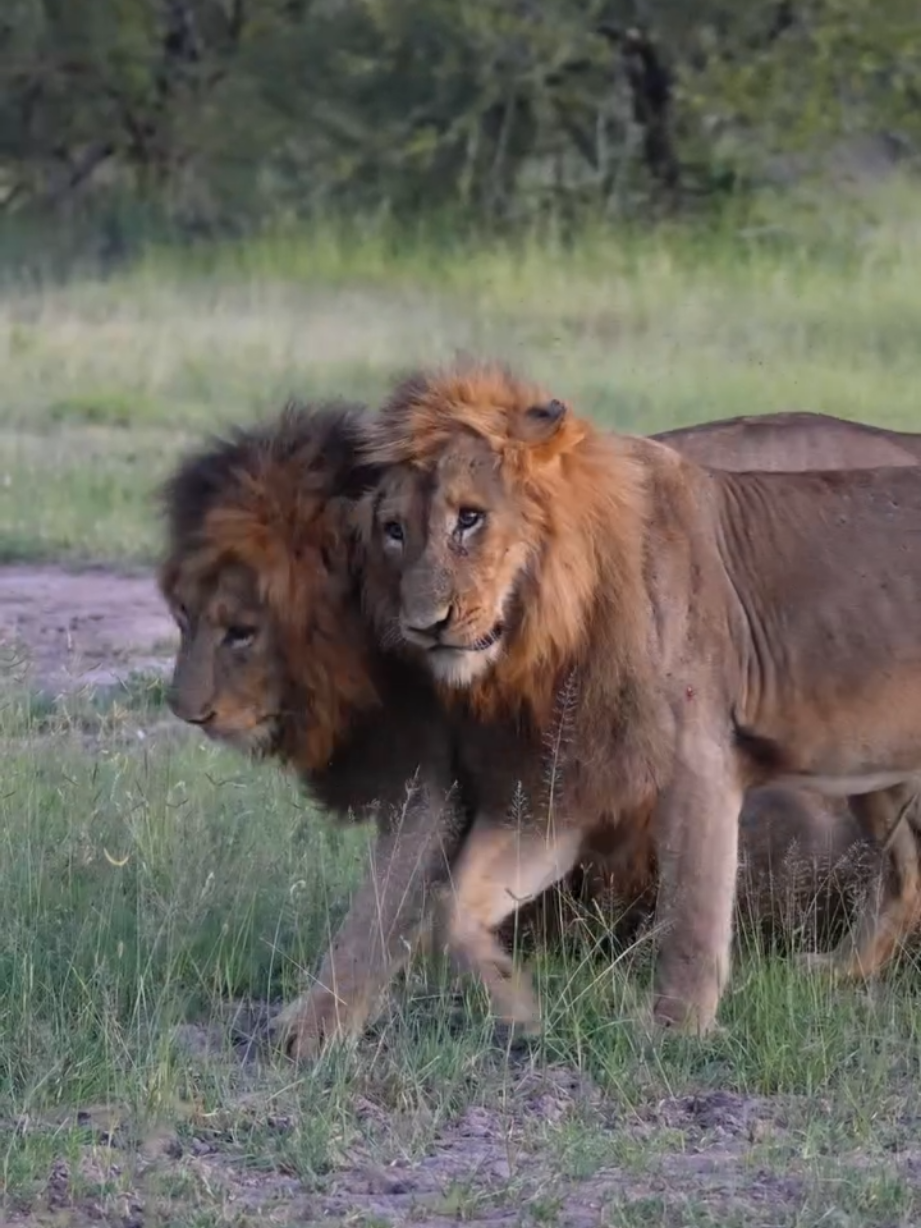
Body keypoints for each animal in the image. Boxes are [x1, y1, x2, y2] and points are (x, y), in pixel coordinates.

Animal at [356, 360, 921, 1038]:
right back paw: (836, 972)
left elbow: (691, 914)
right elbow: (454, 905)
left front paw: (674, 1032)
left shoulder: (700, 759)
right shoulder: (563, 789)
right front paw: (514, 1003)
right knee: (905, 873)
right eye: (394, 530)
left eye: (470, 518)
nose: (423, 627)